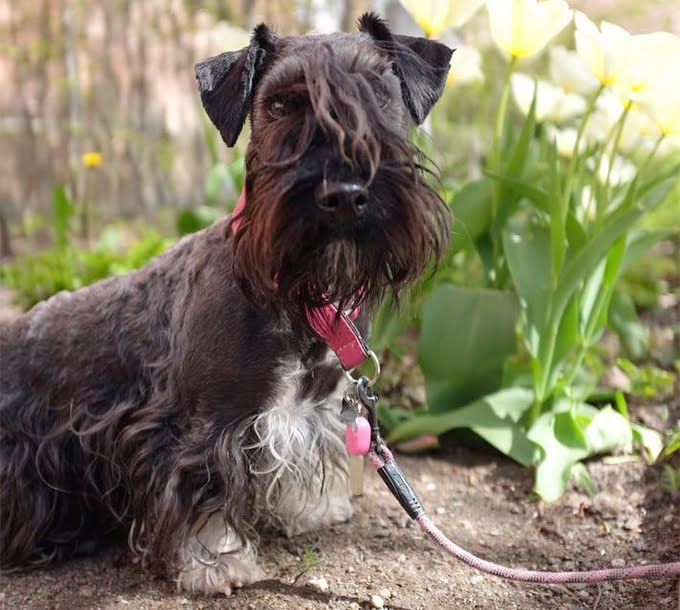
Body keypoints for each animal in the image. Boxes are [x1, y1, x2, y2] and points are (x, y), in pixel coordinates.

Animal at [0, 13, 454, 592]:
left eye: (379, 89)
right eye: (280, 103)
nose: (345, 193)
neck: (301, 299)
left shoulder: (311, 413)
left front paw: (313, 510)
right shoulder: (204, 426)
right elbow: (205, 487)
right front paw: (215, 561)